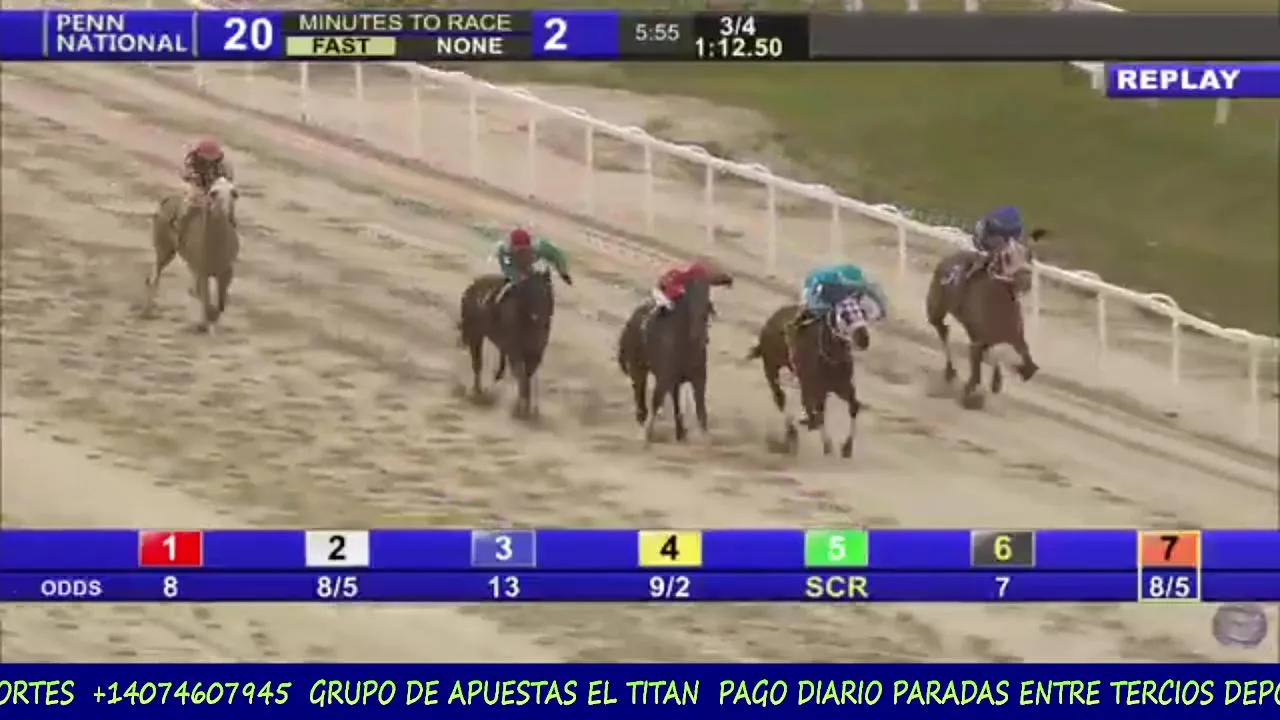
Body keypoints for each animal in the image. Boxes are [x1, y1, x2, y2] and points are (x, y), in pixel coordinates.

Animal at [145, 176, 240, 333]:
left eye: (234, 193)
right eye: (213, 193)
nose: (229, 216)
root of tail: (167, 199)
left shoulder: (226, 273)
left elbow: (219, 304)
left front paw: (210, 318)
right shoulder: (203, 272)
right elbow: (205, 298)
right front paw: (204, 322)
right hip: (165, 251)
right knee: (156, 276)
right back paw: (150, 307)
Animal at [458, 264, 555, 420]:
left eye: (547, 291)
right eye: (531, 292)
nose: (539, 315)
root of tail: (472, 286)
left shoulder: (535, 354)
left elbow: (527, 376)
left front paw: (527, 407)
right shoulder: (515, 351)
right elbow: (521, 375)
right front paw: (521, 408)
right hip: (476, 335)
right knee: (477, 363)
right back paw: (478, 391)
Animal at [617, 274, 718, 445]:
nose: (703, 336)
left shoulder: (698, 377)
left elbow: (700, 408)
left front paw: (703, 437)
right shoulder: (664, 377)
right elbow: (656, 400)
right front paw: (647, 434)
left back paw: (679, 431)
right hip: (640, 367)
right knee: (639, 389)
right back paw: (642, 417)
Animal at [747, 294, 868, 458]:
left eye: (862, 312)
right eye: (844, 315)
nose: (864, 339)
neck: (830, 357)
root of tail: (771, 320)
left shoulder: (841, 386)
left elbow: (854, 406)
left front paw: (847, 447)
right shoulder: (814, 387)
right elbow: (818, 414)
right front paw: (827, 444)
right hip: (771, 366)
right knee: (780, 397)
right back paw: (792, 431)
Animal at [925, 229, 1047, 409]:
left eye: (1029, 254)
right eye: (1006, 256)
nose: (1024, 280)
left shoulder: (1014, 336)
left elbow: (1028, 365)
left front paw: (1008, 375)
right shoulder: (978, 339)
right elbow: (976, 372)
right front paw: (972, 393)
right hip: (936, 310)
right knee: (943, 331)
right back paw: (950, 371)